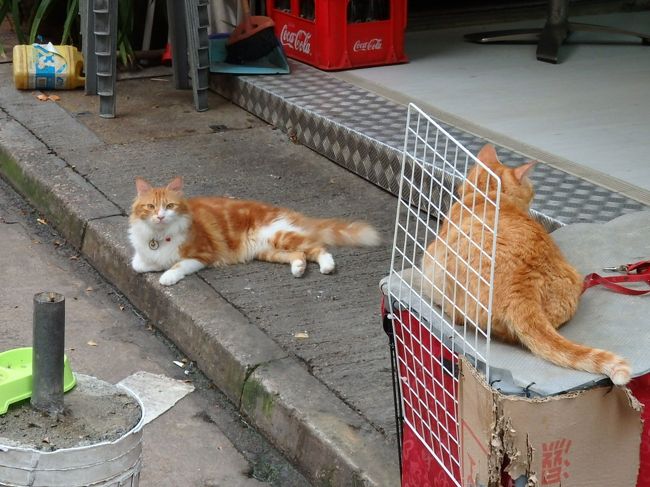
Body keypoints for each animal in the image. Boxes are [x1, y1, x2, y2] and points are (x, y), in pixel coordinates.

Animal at [127, 176, 380, 286]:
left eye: (169, 206)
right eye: (150, 207)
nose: (160, 216)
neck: (159, 235)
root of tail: (285, 210)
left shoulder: (203, 255)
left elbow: (177, 266)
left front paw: (166, 276)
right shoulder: (143, 256)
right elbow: (139, 265)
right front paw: (157, 265)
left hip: (281, 235)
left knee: (319, 248)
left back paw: (327, 267)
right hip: (269, 251)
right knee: (300, 255)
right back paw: (298, 269)